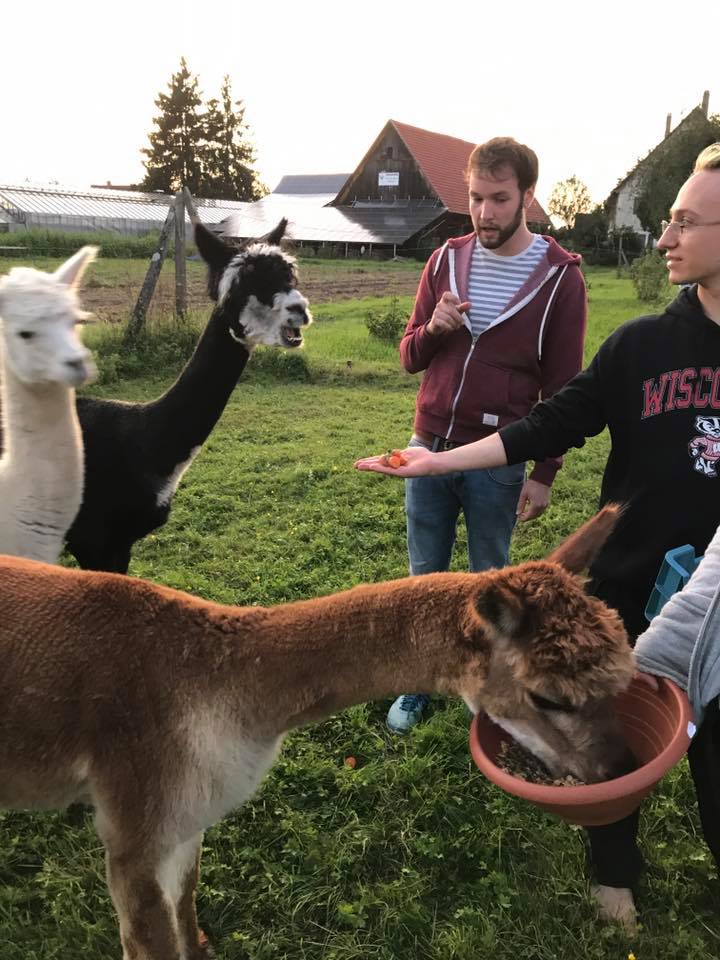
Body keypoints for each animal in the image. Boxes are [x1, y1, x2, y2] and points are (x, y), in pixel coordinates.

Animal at [0, 506, 633, 959]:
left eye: (624, 677)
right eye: (549, 697)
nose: (618, 766)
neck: (217, 681)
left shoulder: (188, 813)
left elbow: (186, 907)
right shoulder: (136, 824)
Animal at [64, 219, 312, 573]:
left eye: (290, 275)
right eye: (241, 286)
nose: (298, 309)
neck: (143, 443)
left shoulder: (119, 545)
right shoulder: (92, 541)